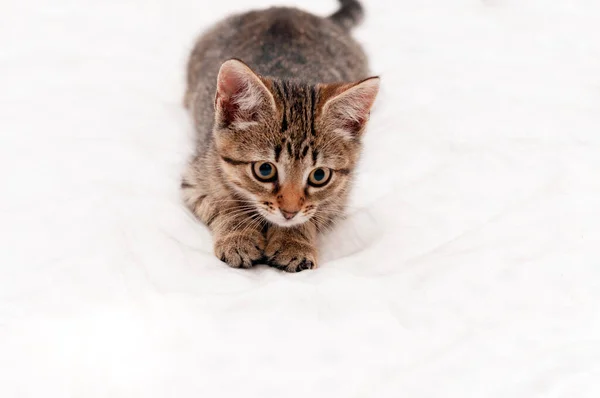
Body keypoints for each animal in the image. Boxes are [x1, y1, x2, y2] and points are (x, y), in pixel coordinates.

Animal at [183, 0, 380, 272]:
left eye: (319, 176)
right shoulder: (194, 180)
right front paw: (239, 236)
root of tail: (283, 9)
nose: (289, 212)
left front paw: (292, 242)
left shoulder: (337, 199)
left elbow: (311, 215)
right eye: (265, 170)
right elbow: (226, 204)